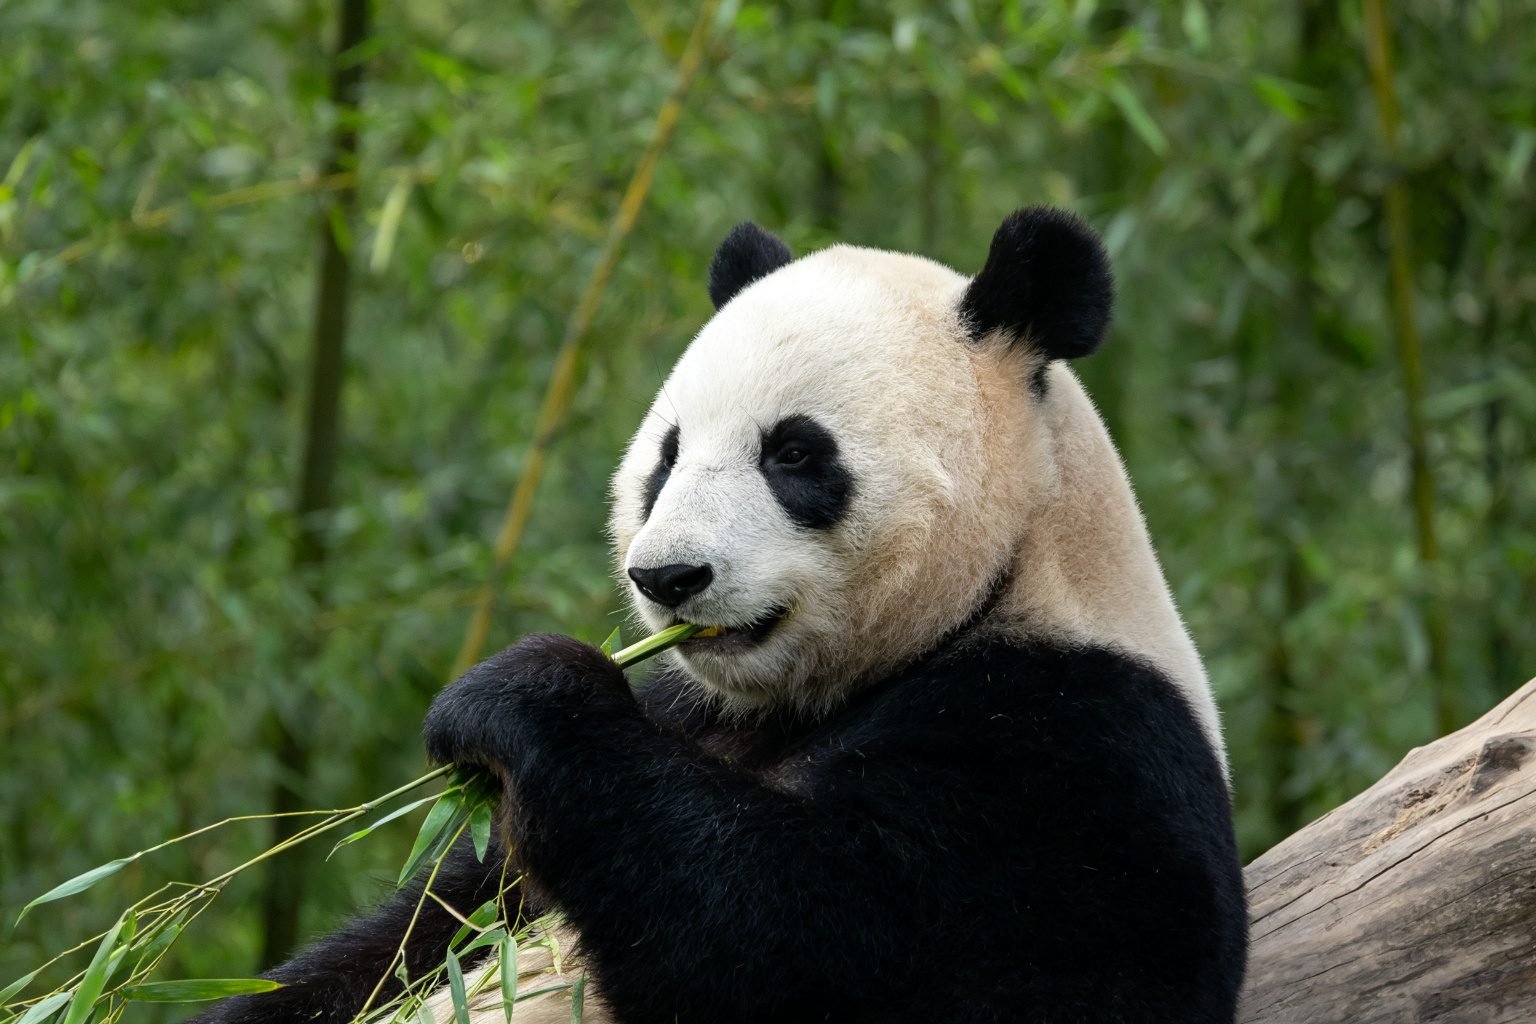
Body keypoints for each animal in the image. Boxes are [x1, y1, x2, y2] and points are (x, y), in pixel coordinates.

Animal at [200, 208, 1247, 1024]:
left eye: (793, 453)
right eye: (667, 454)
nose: (669, 578)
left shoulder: (1080, 746)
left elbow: (857, 951)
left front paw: (522, 692)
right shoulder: (683, 712)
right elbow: (419, 932)